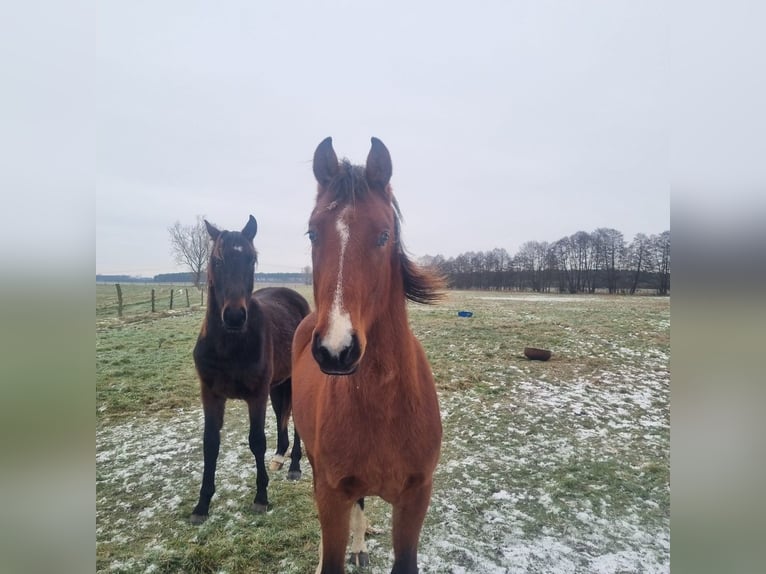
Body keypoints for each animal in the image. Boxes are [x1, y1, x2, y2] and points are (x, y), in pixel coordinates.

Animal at [190, 216, 310, 528]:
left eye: (250, 259)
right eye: (217, 260)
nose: (234, 316)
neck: (228, 345)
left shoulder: (255, 395)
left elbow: (256, 441)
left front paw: (261, 497)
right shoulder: (211, 395)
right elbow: (210, 444)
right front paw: (202, 504)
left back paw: (294, 465)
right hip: (277, 384)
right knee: (282, 414)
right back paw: (279, 457)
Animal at [292, 137, 448, 572]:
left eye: (383, 235)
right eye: (312, 233)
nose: (336, 350)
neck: (384, 406)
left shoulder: (415, 499)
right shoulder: (332, 496)